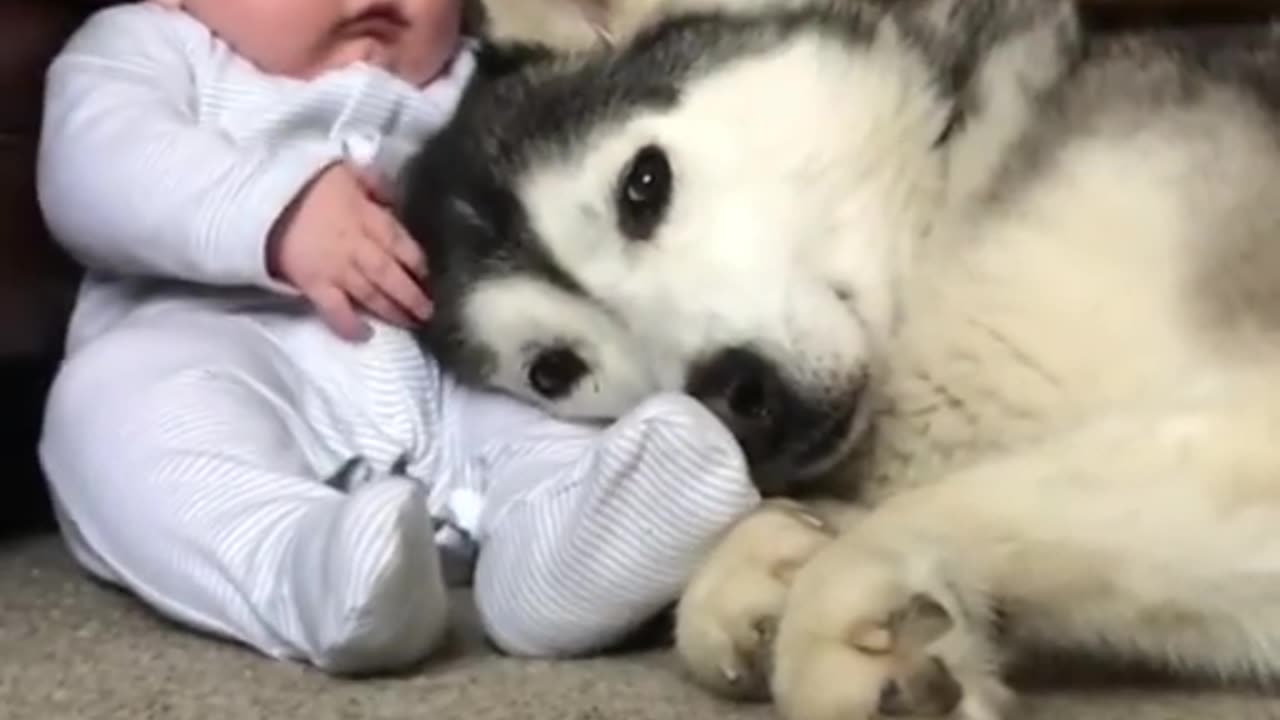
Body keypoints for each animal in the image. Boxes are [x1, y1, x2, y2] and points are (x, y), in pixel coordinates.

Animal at [396, 1, 1280, 717]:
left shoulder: (1243, 420)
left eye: (643, 184)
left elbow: (961, 503)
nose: (734, 393)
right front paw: (770, 559)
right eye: (553, 370)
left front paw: (849, 595)